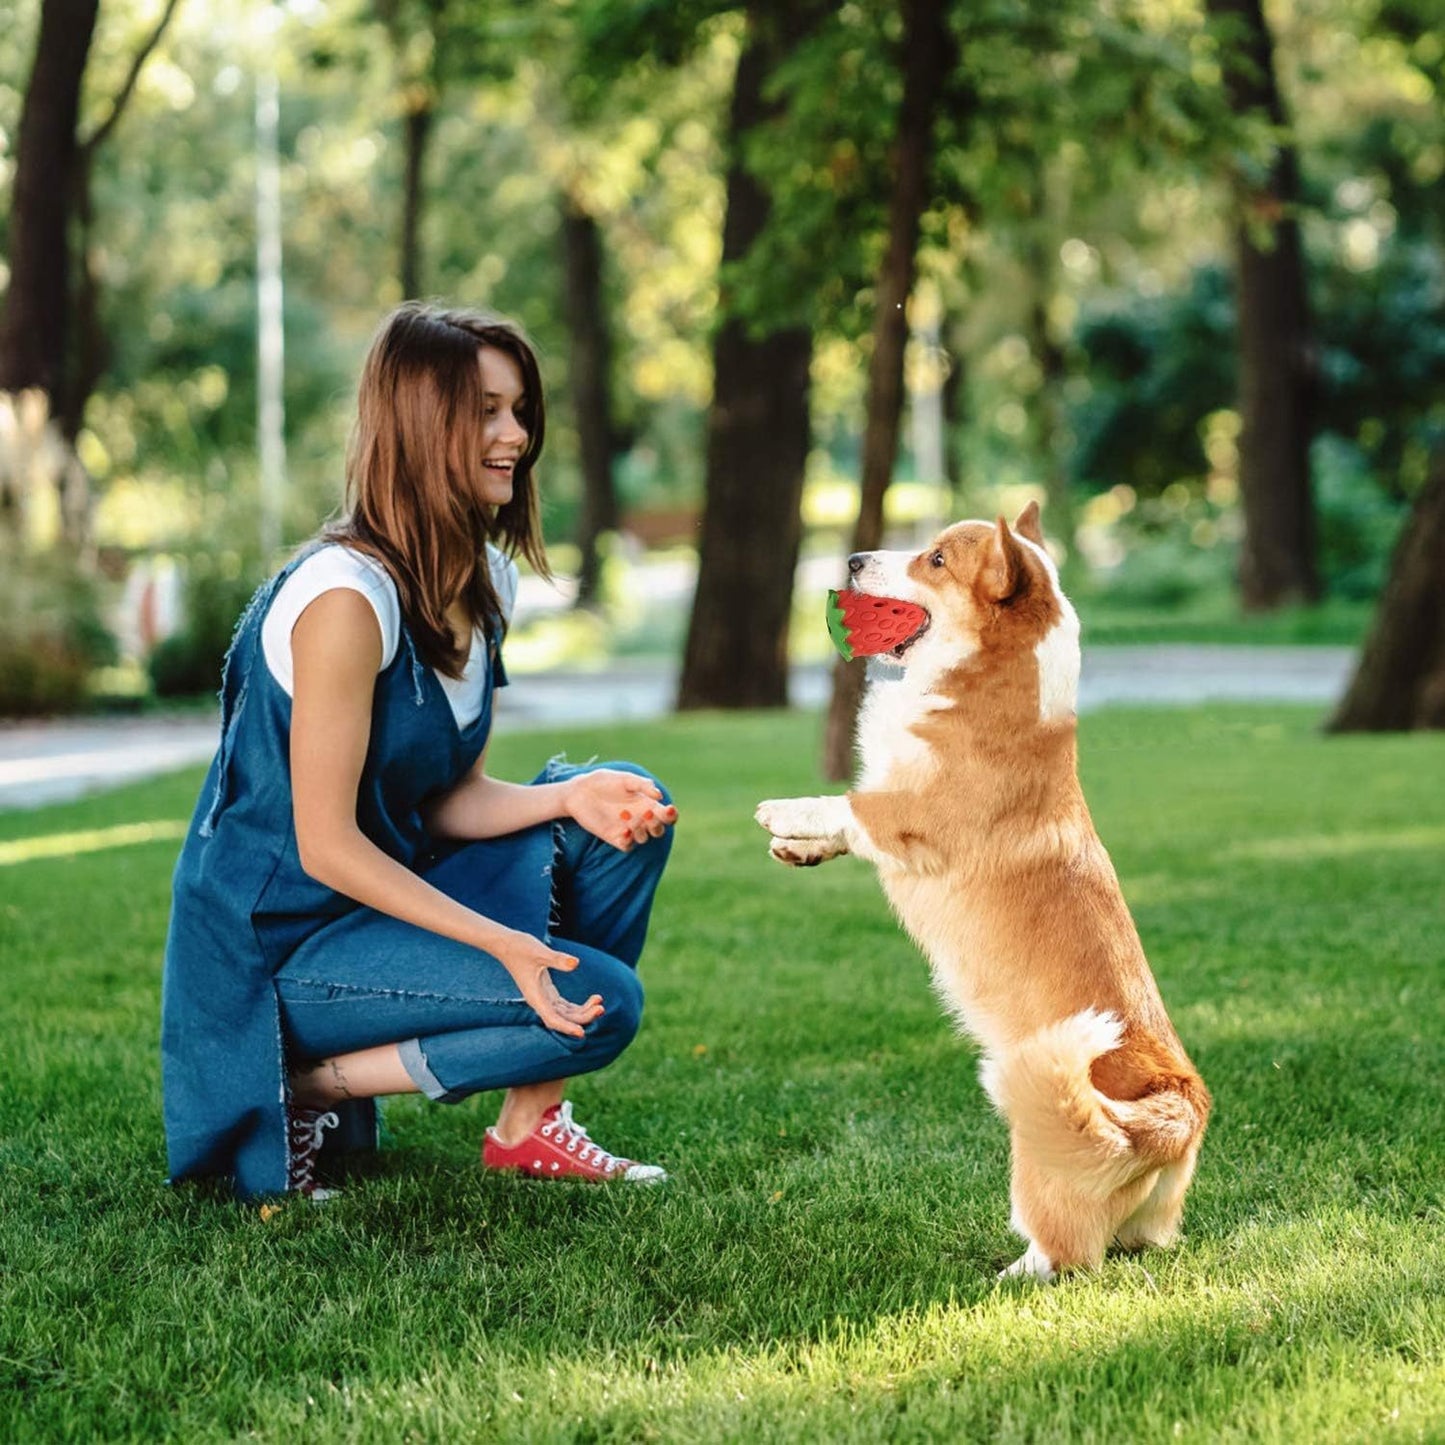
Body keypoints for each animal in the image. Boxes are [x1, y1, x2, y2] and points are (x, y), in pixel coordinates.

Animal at [757, 502, 1208, 1283]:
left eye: (935, 560)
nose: (852, 559)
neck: (982, 680)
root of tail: (1177, 1111)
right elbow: (843, 824)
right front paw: (798, 848)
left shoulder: (911, 815)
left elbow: (846, 805)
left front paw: (784, 813)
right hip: (1149, 1213)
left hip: (1043, 1146)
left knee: (1066, 1251)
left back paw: (1007, 1276)